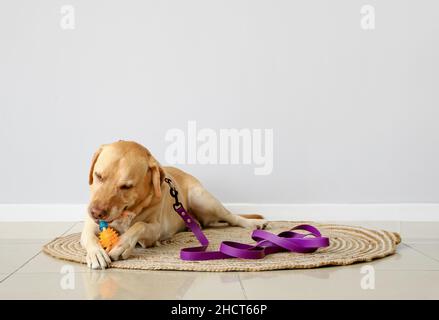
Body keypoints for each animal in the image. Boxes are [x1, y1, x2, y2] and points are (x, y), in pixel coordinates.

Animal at [82, 141, 268, 268]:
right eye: (98, 176)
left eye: (126, 187)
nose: (95, 212)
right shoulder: (90, 225)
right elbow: (89, 236)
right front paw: (96, 253)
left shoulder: (155, 228)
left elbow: (139, 226)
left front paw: (122, 245)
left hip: (202, 198)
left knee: (231, 216)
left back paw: (254, 223)